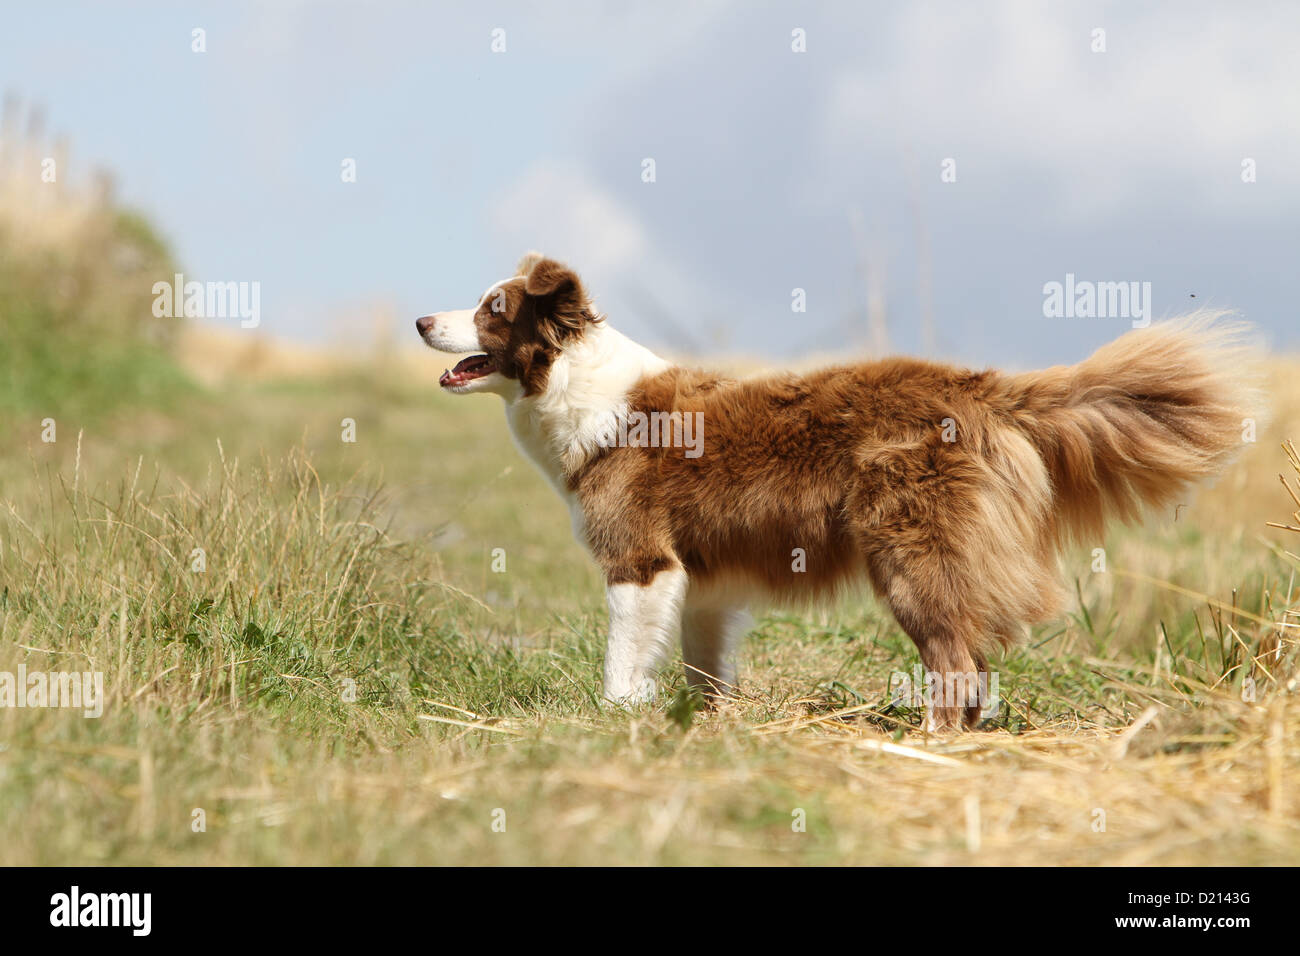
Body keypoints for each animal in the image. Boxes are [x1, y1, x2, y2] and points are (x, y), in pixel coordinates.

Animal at [421, 254, 1263, 733]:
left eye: (493, 308)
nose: (424, 317)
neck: (575, 382)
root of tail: (987, 389)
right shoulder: (705, 586)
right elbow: (703, 668)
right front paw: (704, 727)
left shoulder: (641, 564)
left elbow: (622, 661)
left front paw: (615, 720)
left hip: (911, 555)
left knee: (956, 662)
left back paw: (930, 743)